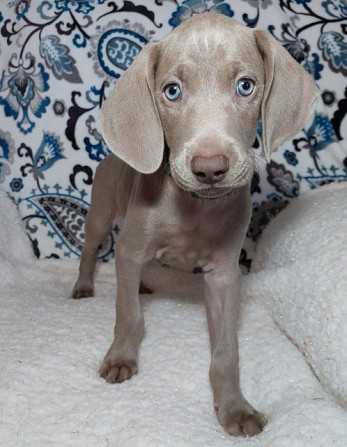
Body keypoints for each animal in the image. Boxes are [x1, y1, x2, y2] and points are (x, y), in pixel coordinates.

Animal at [72, 13, 320, 438]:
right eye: (172, 91)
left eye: (245, 86)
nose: (209, 169)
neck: (196, 208)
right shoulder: (130, 249)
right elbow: (128, 314)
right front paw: (121, 358)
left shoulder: (223, 273)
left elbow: (226, 350)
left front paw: (234, 408)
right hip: (101, 215)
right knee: (89, 251)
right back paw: (83, 287)